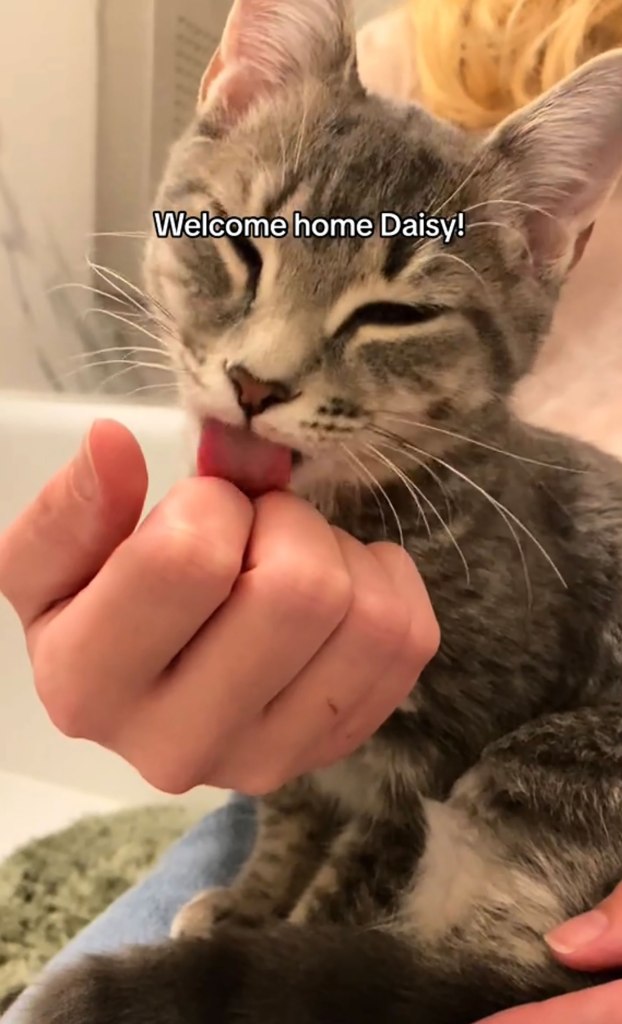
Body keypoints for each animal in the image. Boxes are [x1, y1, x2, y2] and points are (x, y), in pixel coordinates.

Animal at [26, 2, 622, 1024]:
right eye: (239, 242)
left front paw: (282, 942)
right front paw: (251, 902)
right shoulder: (291, 737)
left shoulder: (438, 760)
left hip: (548, 764)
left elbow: (356, 884)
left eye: (396, 315)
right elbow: (293, 807)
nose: (256, 383)